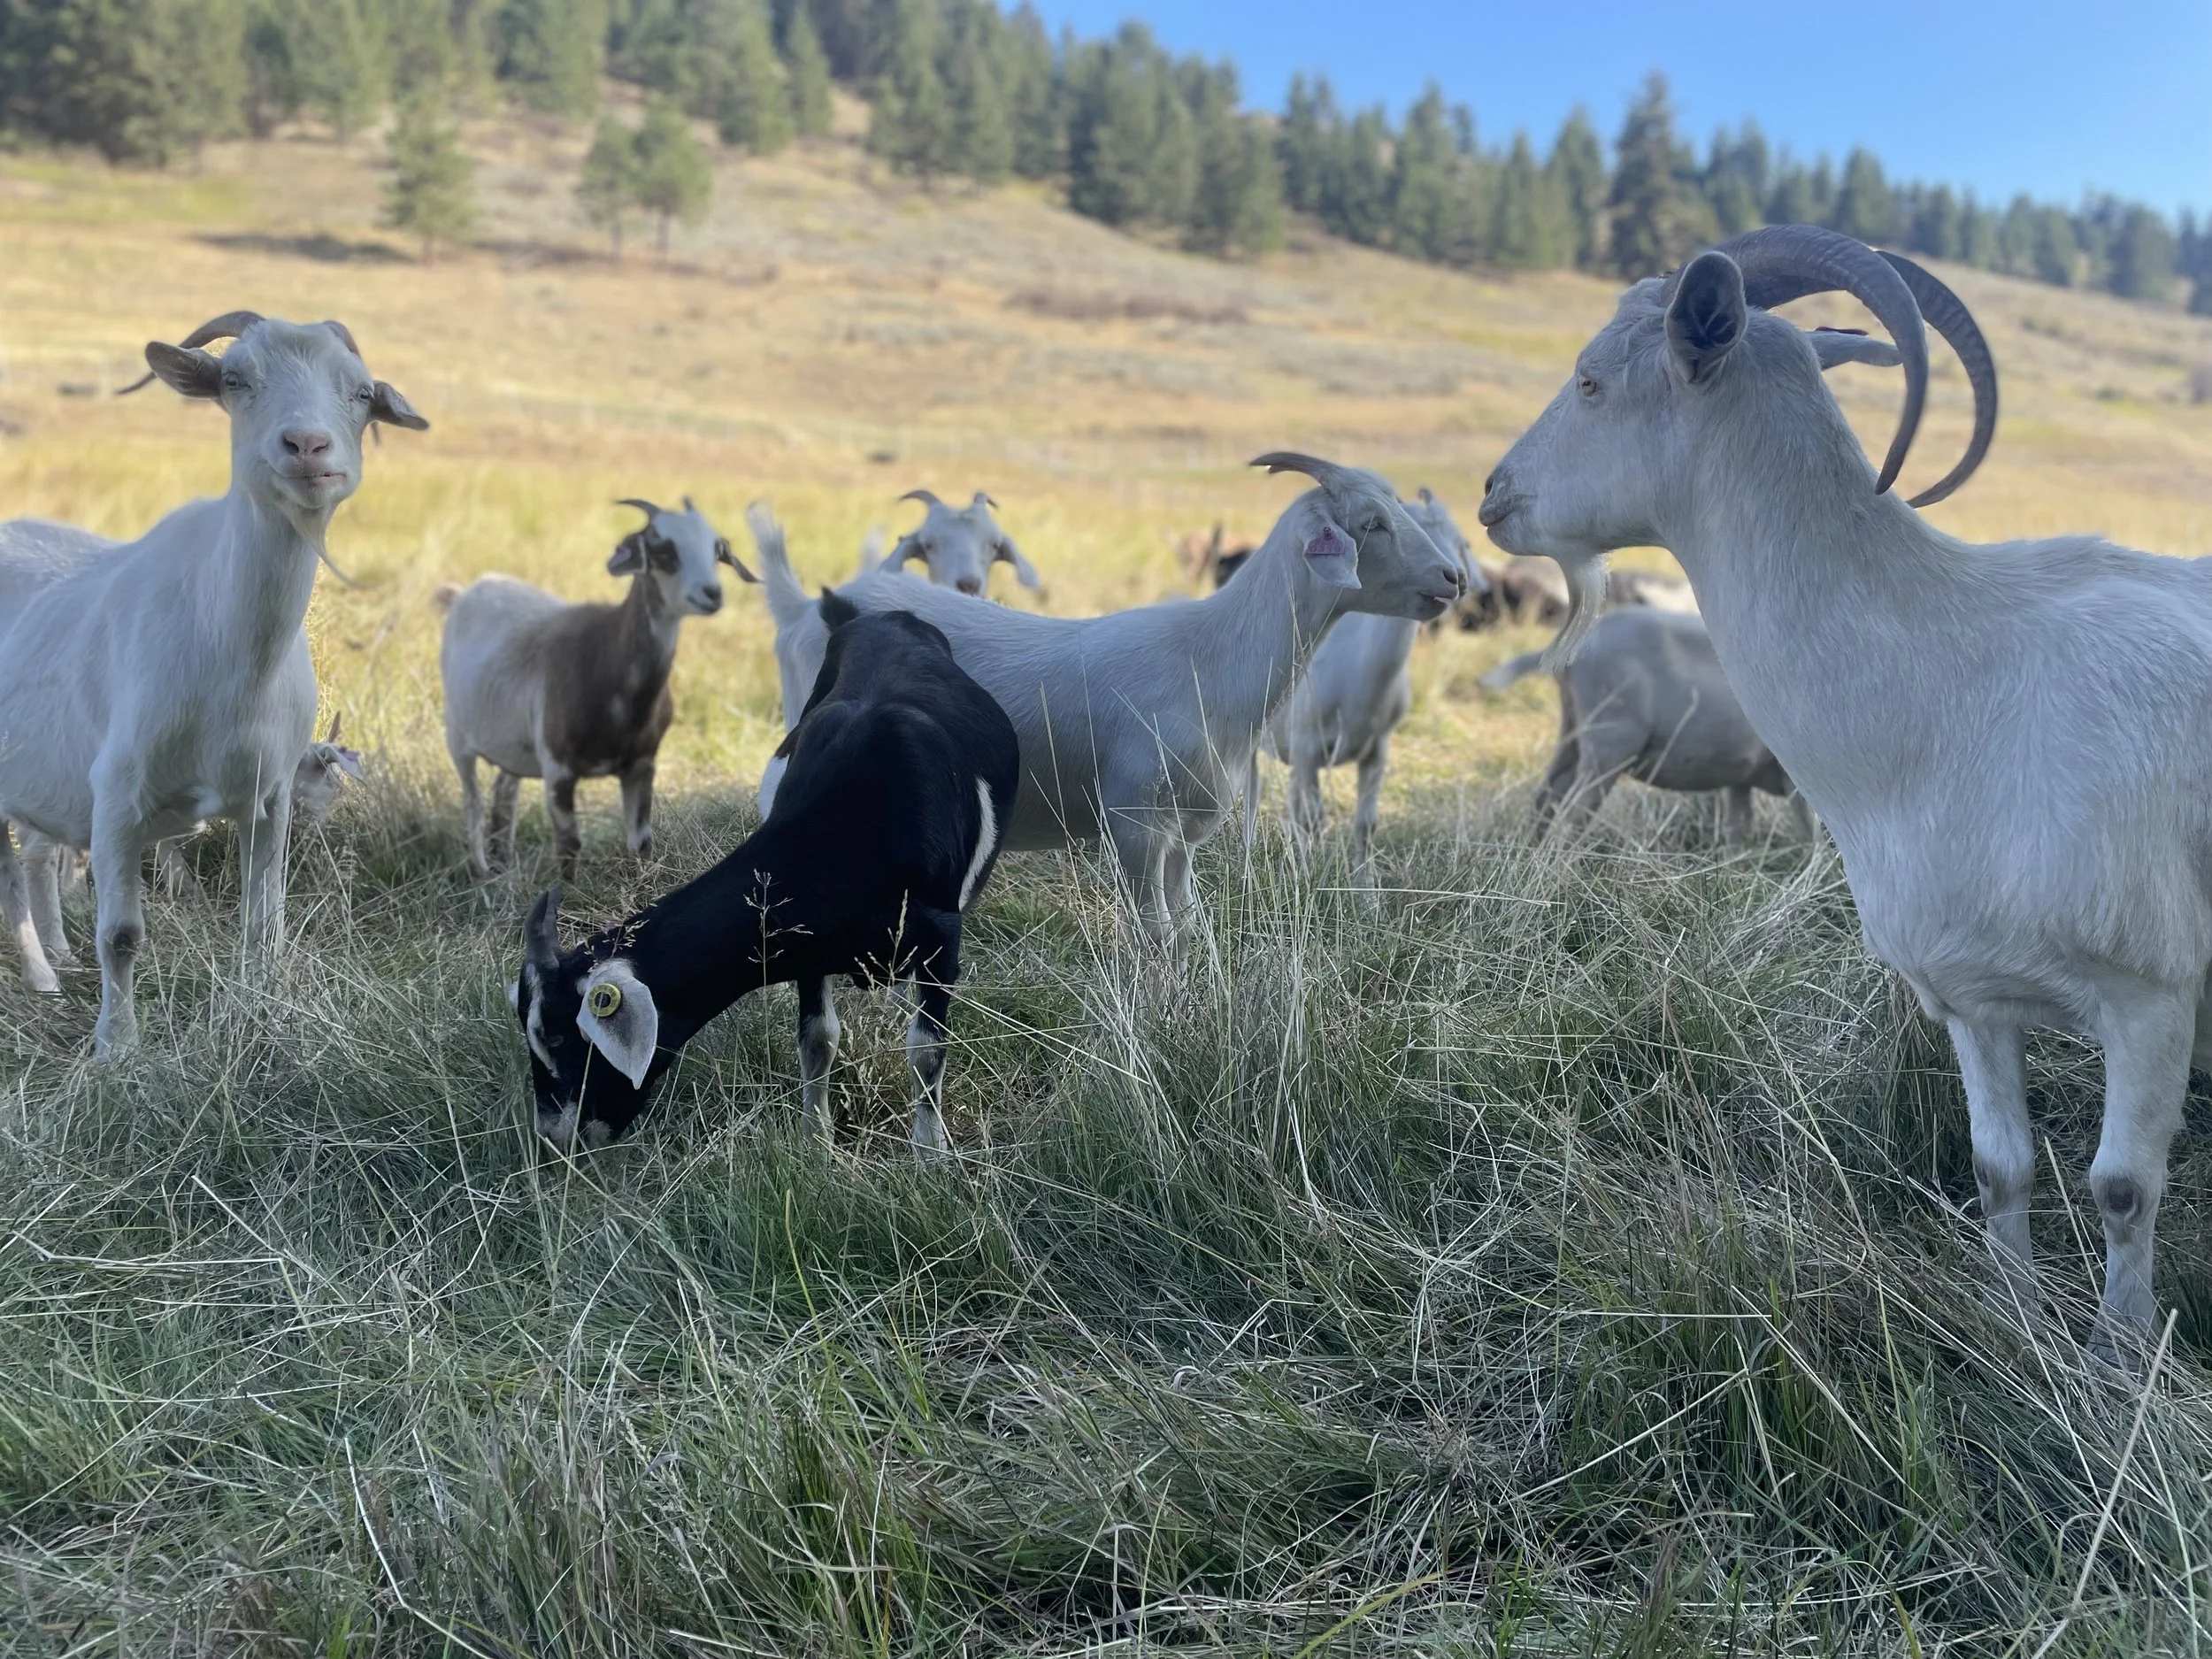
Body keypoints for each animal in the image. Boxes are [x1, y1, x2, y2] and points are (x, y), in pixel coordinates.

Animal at [0, 312, 425, 1051]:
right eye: (234, 378)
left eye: (363, 392)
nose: (307, 445)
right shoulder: (117, 797)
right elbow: (121, 934)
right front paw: (116, 1047)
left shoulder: (270, 797)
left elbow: (263, 922)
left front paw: (264, 1012)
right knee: (12, 879)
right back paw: (42, 974)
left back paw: (55, 959)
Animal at [438, 497, 751, 881]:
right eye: (662, 549)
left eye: (716, 550)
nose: (712, 594)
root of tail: (465, 593)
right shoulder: (558, 771)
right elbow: (570, 846)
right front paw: (568, 892)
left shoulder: (642, 765)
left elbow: (641, 841)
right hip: (457, 735)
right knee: (473, 803)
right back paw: (483, 872)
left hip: (513, 746)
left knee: (504, 794)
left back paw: (502, 865)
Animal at [514, 592, 1019, 1154]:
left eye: (560, 1037)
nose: (554, 1138)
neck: (856, 821)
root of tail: (880, 618)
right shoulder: (807, 946)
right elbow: (819, 1038)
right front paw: (816, 1139)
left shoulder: (940, 938)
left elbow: (926, 1050)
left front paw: (929, 1153)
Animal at [1482, 608, 1812, 845]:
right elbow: (1808, 825)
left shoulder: (1741, 776)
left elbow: (1739, 824)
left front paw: (1735, 869)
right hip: (1610, 738)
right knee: (1575, 808)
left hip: (1573, 729)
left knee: (1547, 794)